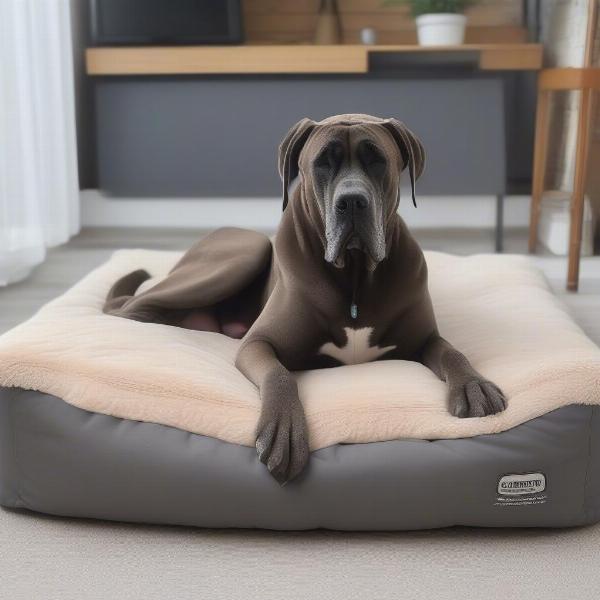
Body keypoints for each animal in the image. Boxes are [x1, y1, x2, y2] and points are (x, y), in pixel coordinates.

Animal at [104, 115, 506, 486]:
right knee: (131, 308)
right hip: (242, 252)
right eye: (322, 163)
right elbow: (280, 375)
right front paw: (283, 430)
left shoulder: (424, 338)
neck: (355, 275)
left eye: (377, 160)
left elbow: (451, 351)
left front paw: (474, 386)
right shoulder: (258, 343)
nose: (352, 202)